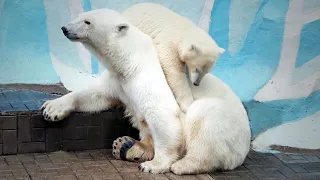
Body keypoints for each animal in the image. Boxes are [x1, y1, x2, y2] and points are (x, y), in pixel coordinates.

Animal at [41, 8, 184, 174]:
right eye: (79, 17)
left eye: (87, 22)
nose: (65, 29)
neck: (129, 63)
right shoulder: (117, 82)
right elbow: (96, 95)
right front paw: (51, 109)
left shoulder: (146, 79)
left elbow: (162, 115)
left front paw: (154, 165)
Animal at [113, 2, 252, 174]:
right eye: (198, 69)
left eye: (206, 71)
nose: (196, 83)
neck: (182, 30)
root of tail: (239, 155)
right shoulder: (166, 43)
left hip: (224, 124)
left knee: (203, 124)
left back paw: (181, 165)